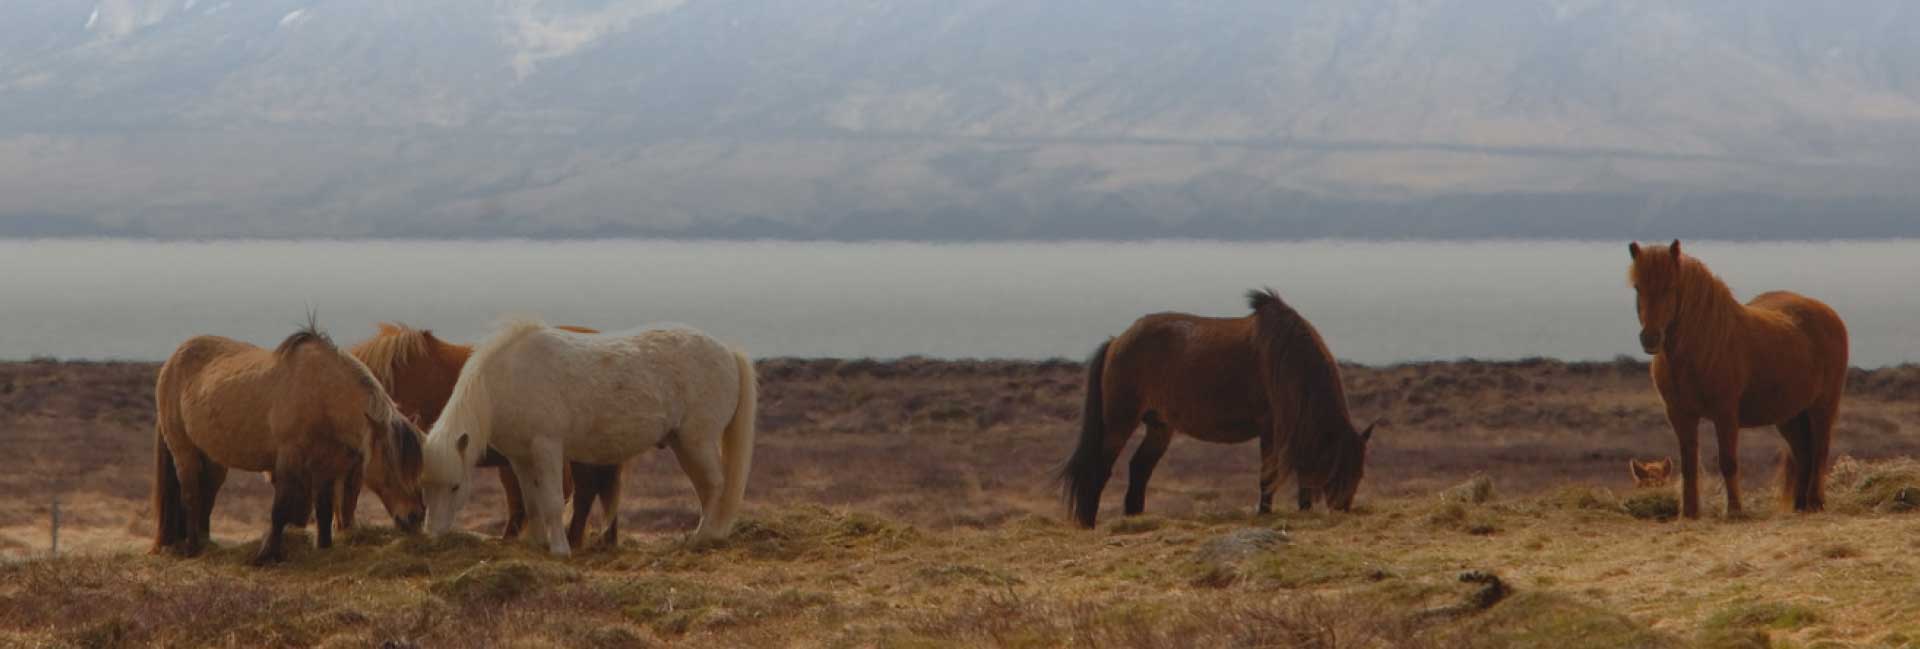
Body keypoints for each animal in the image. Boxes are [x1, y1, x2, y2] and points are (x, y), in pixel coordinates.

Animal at [152, 323, 426, 565]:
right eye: (392, 464)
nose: (415, 518)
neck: (322, 396)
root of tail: (172, 361)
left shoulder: (325, 468)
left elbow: (323, 510)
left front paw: (324, 548)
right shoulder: (288, 460)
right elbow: (280, 509)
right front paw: (265, 556)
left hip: (212, 459)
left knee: (207, 494)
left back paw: (205, 543)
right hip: (184, 451)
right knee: (191, 494)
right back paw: (192, 547)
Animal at [422, 320, 757, 556]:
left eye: (455, 486)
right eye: (426, 486)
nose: (432, 535)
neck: (507, 376)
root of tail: (728, 351)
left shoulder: (547, 448)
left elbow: (552, 501)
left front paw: (559, 550)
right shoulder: (521, 458)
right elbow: (532, 502)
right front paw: (537, 544)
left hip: (697, 442)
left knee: (715, 486)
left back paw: (702, 539)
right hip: (684, 445)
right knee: (706, 489)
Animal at [1058, 288, 1377, 529]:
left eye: (1360, 473)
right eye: (1341, 468)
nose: (1342, 508)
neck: (1289, 360)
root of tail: (1117, 341)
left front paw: (1303, 509)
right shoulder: (1271, 429)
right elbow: (1268, 473)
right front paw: (1265, 513)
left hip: (1159, 426)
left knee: (1139, 468)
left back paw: (1135, 517)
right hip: (1119, 422)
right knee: (1100, 467)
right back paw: (1089, 522)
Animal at [1627, 240, 1848, 518]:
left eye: (1671, 286)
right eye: (1637, 287)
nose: (1650, 338)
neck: (1701, 345)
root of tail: (1830, 315)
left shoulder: (1725, 414)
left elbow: (1728, 461)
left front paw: (1734, 510)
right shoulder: (1680, 415)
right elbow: (1689, 465)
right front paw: (1689, 513)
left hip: (1822, 407)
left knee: (1819, 451)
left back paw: (1816, 502)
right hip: (1790, 416)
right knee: (1803, 454)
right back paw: (1800, 506)